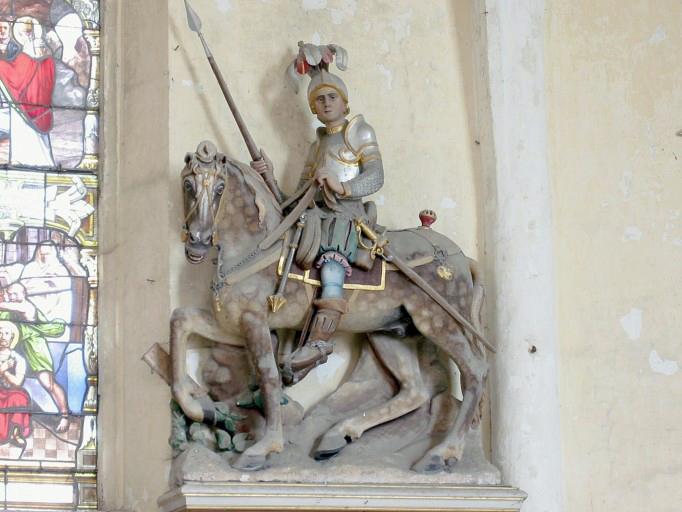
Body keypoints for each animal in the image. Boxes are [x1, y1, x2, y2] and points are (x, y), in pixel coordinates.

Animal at [170, 140, 488, 472]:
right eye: (188, 184)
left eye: (220, 188)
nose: (198, 241)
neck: (256, 247)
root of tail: (460, 257)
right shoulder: (234, 325)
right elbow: (180, 320)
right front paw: (196, 405)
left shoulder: (254, 322)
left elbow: (268, 377)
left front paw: (263, 448)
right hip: (388, 333)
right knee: (414, 390)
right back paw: (337, 435)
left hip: (439, 321)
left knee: (474, 373)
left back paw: (442, 453)